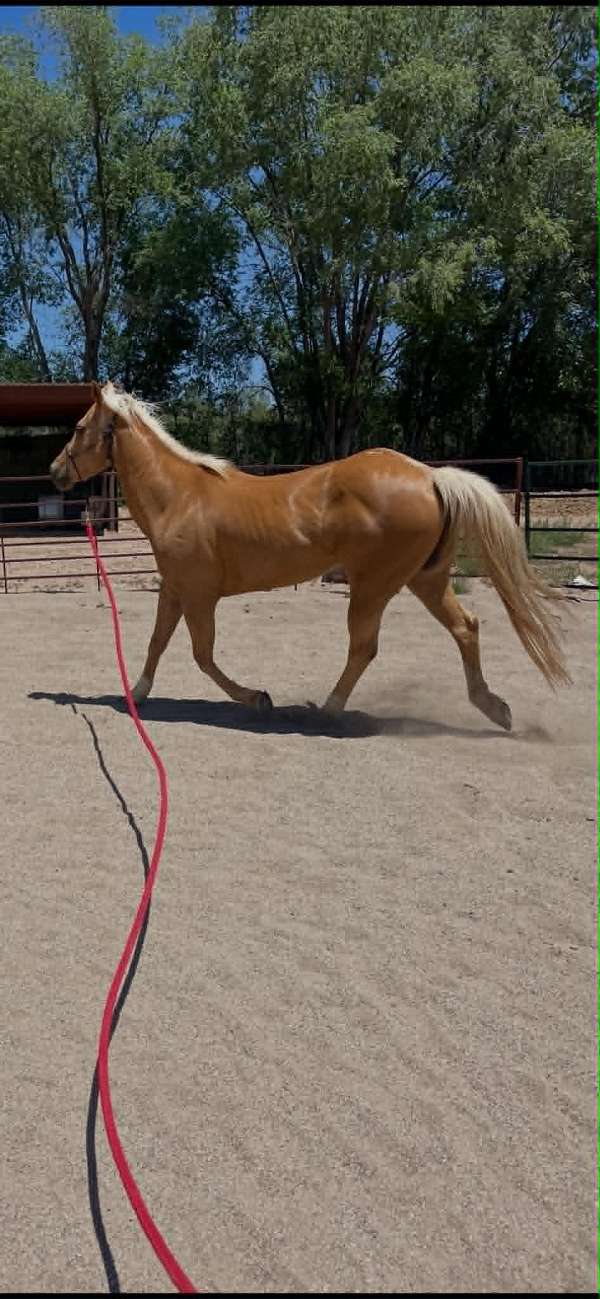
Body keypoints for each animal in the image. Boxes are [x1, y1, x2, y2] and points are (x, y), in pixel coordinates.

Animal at [49, 381, 569, 729]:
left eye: (78, 427)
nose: (54, 471)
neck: (180, 498)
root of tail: (429, 476)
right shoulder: (175, 589)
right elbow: (157, 643)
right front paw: (136, 693)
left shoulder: (199, 595)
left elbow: (202, 655)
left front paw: (257, 698)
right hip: (426, 579)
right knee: (466, 628)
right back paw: (494, 708)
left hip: (373, 586)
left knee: (364, 648)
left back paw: (329, 709)